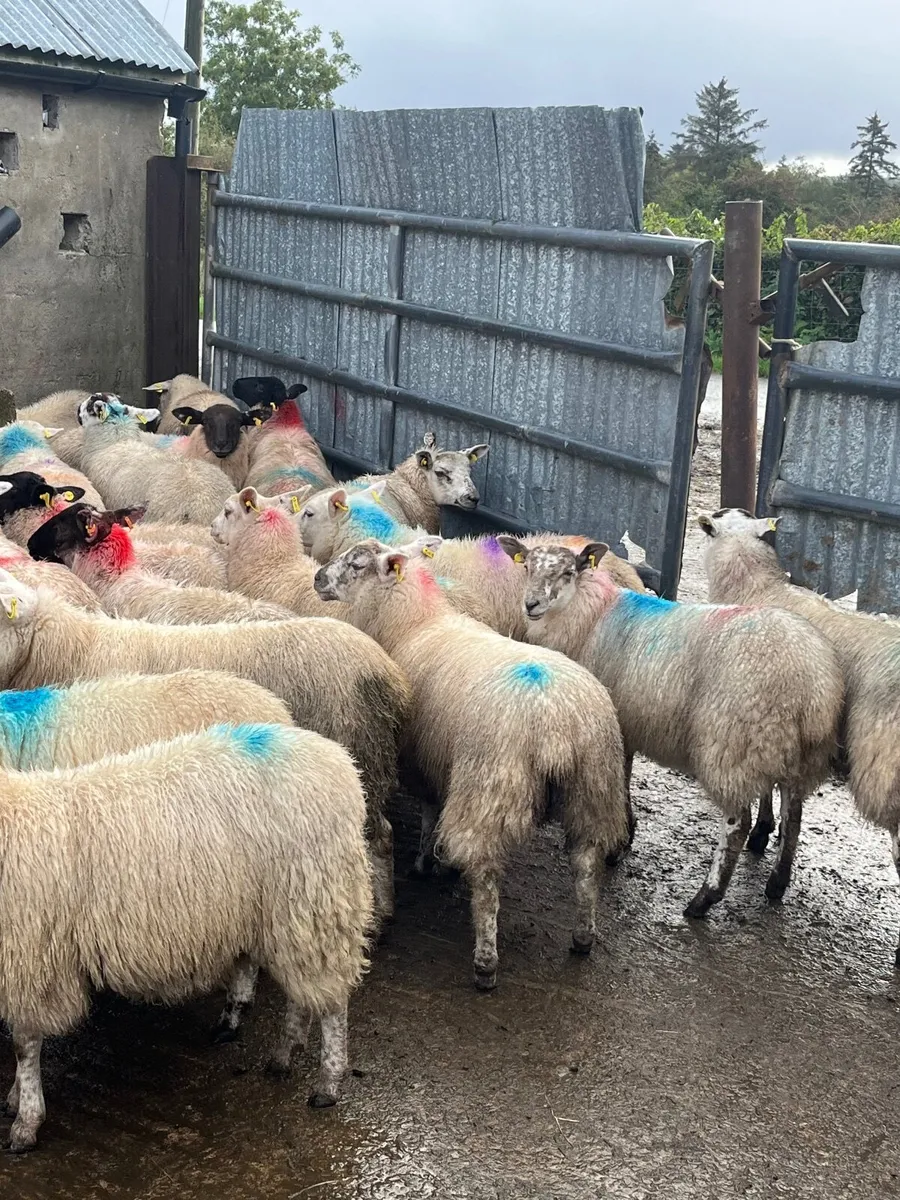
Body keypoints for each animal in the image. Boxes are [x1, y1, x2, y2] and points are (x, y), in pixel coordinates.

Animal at [0, 721, 373, 1151]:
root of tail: (337, 760)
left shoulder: (29, 960)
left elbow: (24, 1045)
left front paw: (25, 1122)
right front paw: (16, 1101)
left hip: (316, 903)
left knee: (332, 1003)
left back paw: (328, 1081)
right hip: (287, 917)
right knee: (303, 992)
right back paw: (283, 1055)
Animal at [313, 539, 628, 990]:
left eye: (356, 565)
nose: (317, 577)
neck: (415, 621)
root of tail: (556, 721)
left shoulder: (420, 757)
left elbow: (429, 809)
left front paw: (425, 863)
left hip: (489, 784)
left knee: (486, 877)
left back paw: (485, 962)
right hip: (594, 784)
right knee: (586, 863)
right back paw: (583, 937)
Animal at [497, 536, 843, 916]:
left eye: (568, 572)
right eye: (527, 567)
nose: (531, 604)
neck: (592, 616)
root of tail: (812, 681)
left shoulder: (617, 723)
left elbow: (621, 781)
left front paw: (618, 843)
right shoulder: (628, 723)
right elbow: (625, 778)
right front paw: (626, 838)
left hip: (733, 744)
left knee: (738, 823)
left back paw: (704, 899)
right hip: (797, 753)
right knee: (793, 816)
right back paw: (777, 884)